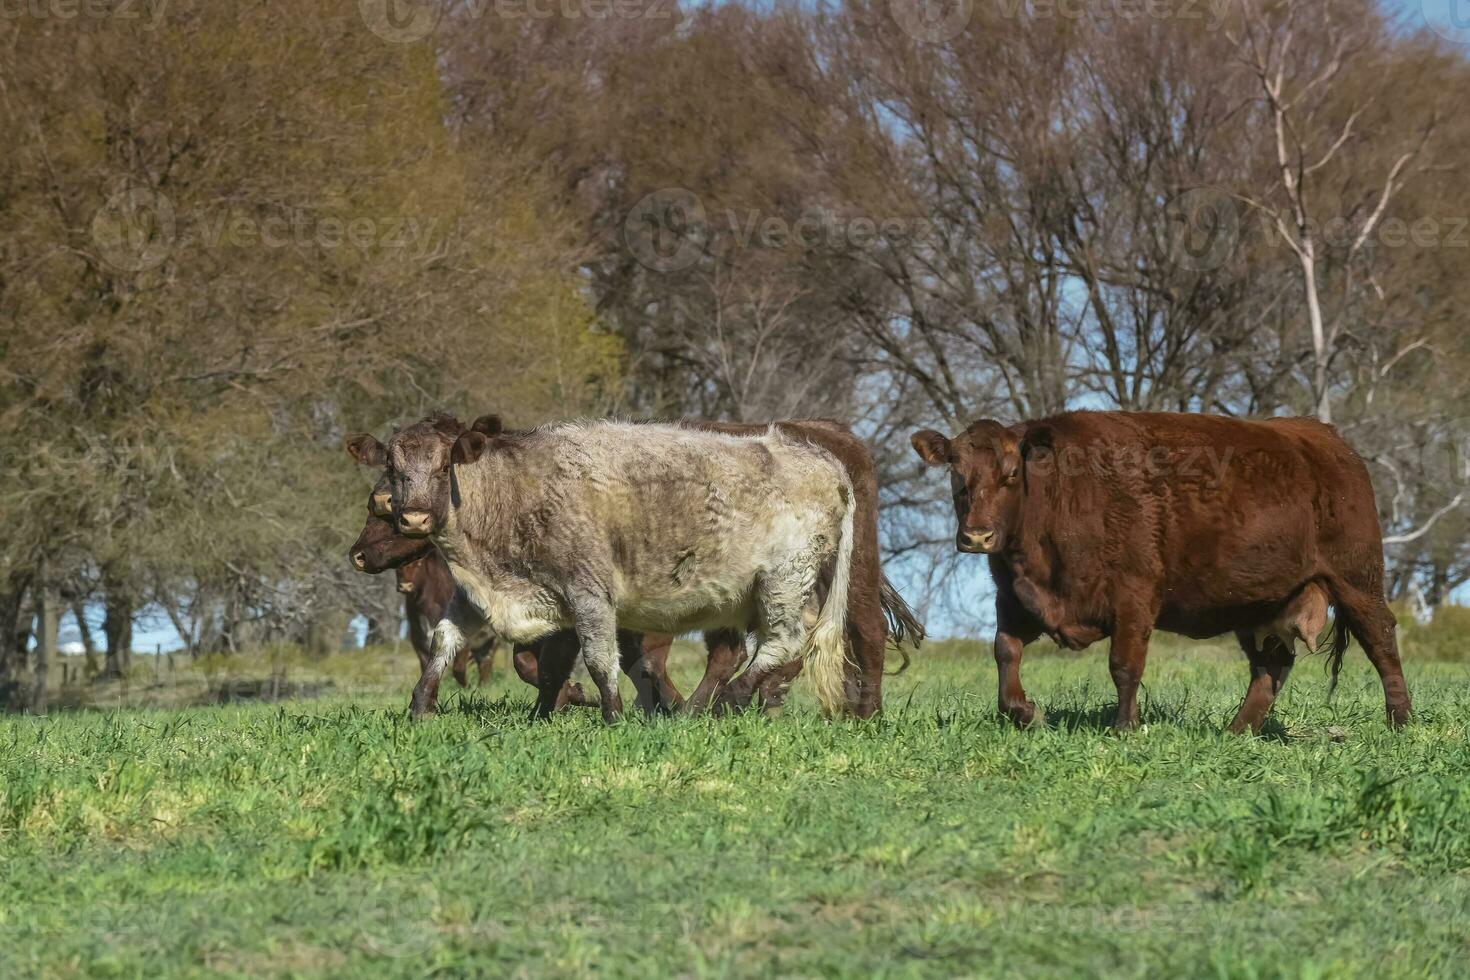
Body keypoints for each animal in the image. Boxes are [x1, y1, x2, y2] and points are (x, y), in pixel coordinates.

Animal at [905, 411, 1411, 731]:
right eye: (956, 474)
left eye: (1011, 473)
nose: (977, 536)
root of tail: (1323, 437)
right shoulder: (1014, 598)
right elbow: (1004, 654)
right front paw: (1028, 713)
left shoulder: (1134, 596)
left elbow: (1124, 665)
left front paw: (1124, 728)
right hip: (1259, 602)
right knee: (1271, 666)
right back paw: (1237, 731)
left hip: (1357, 579)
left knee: (1382, 641)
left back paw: (1399, 721)